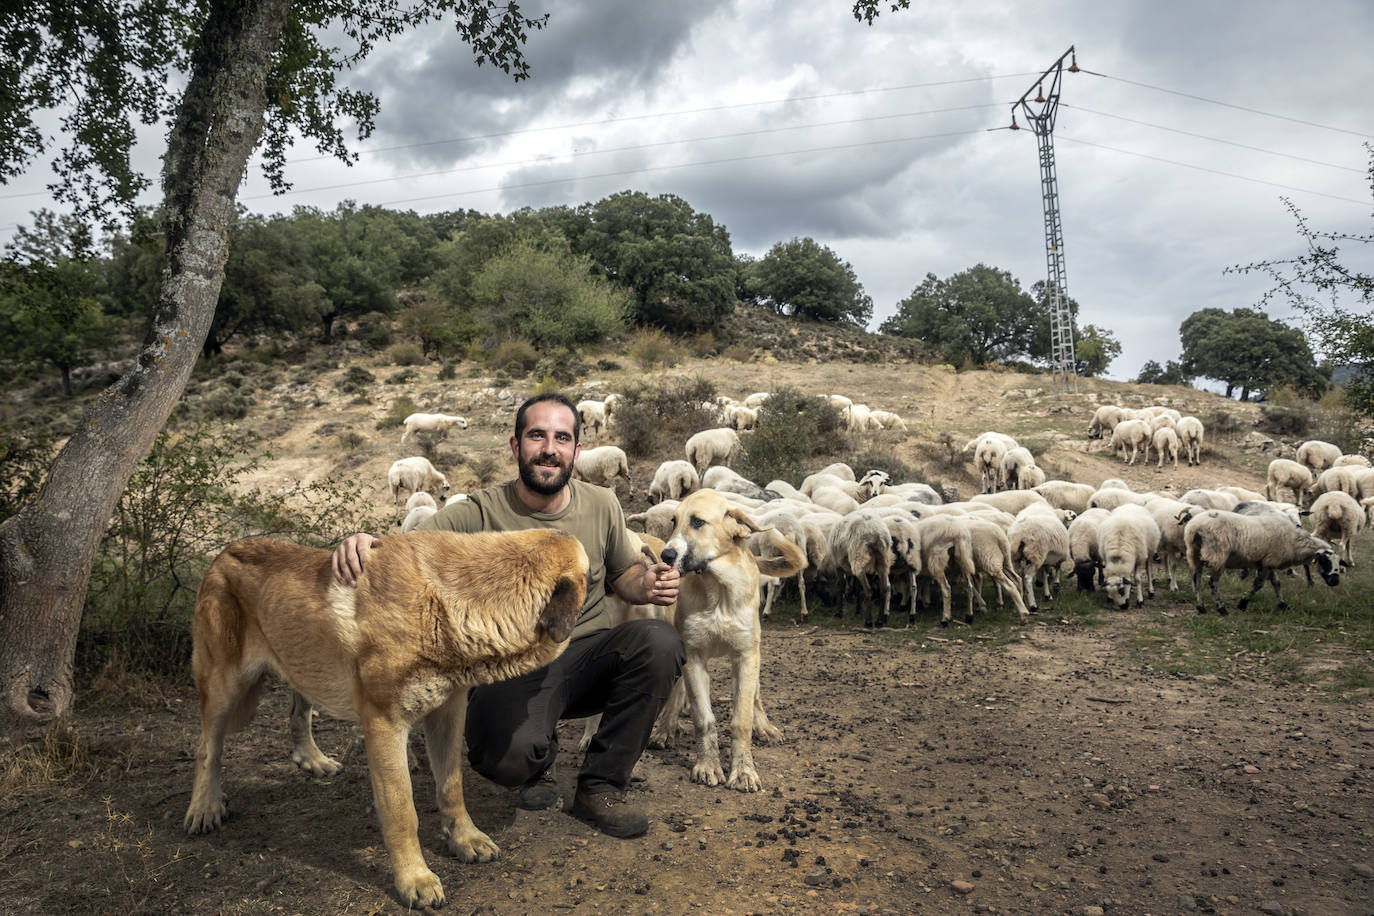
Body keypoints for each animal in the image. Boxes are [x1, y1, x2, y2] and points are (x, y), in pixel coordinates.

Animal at [181, 530, 585, 911]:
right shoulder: (385, 724)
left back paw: (312, 760)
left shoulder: (448, 713)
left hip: (302, 662)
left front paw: (465, 839)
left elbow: (451, 786)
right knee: (206, 748)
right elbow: (402, 811)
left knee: (298, 713)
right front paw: (415, 879)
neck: (447, 599)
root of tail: (224, 552)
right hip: (223, 685)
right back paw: (204, 807)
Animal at [656, 491, 802, 791]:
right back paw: (666, 727)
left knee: (756, 695)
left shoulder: (746, 656)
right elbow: (704, 719)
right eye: (674, 521)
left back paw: (764, 726)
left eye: (698, 522)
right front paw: (707, 765)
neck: (717, 588)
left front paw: (744, 770)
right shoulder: (693, 657)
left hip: (754, 652)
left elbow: (741, 719)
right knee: (678, 691)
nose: (666, 556)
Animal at [1187, 508, 1335, 615]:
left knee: (1196, 579)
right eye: (1325, 561)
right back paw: (1221, 608)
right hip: (1219, 556)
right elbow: (1258, 585)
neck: (1294, 542)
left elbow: (1276, 583)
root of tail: (1195, 527)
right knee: (1213, 582)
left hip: (1194, 554)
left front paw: (1283, 605)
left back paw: (1200, 607)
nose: (1335, 581)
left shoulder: (1270, 562)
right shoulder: (1267, 563)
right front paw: (1243, 604)